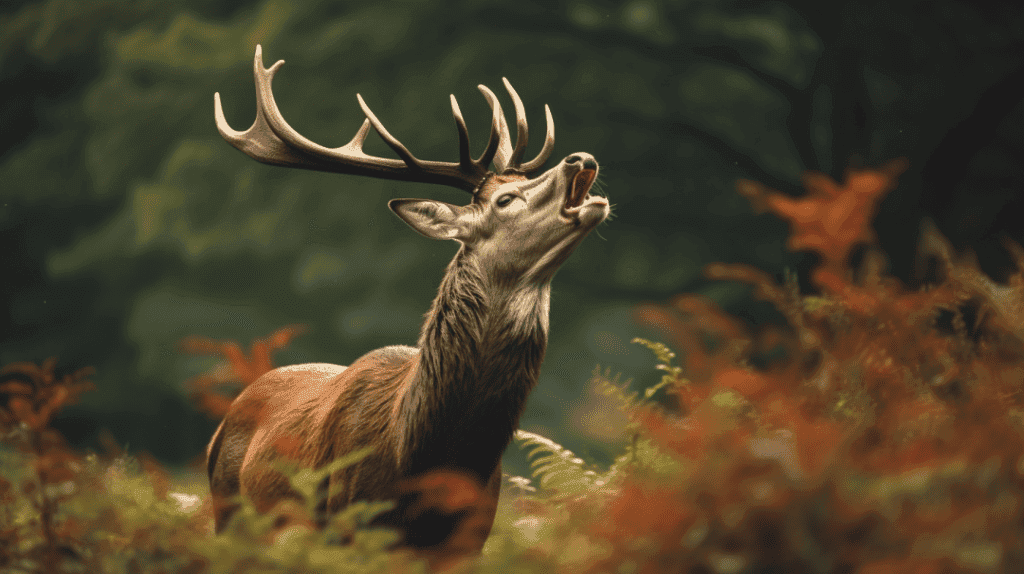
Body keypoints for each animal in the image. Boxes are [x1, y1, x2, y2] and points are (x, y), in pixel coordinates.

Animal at [205, 45, 609, 557]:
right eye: (505, 200)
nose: (580, 158)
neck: (421, 457)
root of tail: (218, 431)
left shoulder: (471, 538)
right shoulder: (349, 527)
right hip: (231, 517)